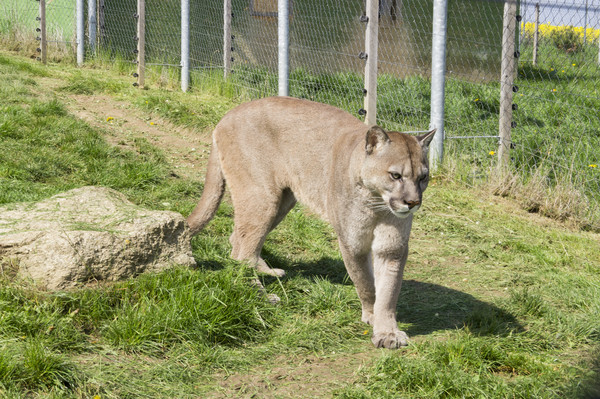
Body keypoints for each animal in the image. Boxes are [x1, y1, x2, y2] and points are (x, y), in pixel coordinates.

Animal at [189, 97, 436, 350]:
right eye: (395, 175)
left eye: (423, 177)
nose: (413, 202)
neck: (376, 204)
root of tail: (227, 115)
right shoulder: (353, 243)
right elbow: (366, 283)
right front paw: (372, 316)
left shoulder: (392, 247)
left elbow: (388, 291)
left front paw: (387, 332)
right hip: (262, 196)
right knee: (242, 253)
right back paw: (262, 297)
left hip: (282, 200)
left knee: (240, 240)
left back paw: (267, 271)